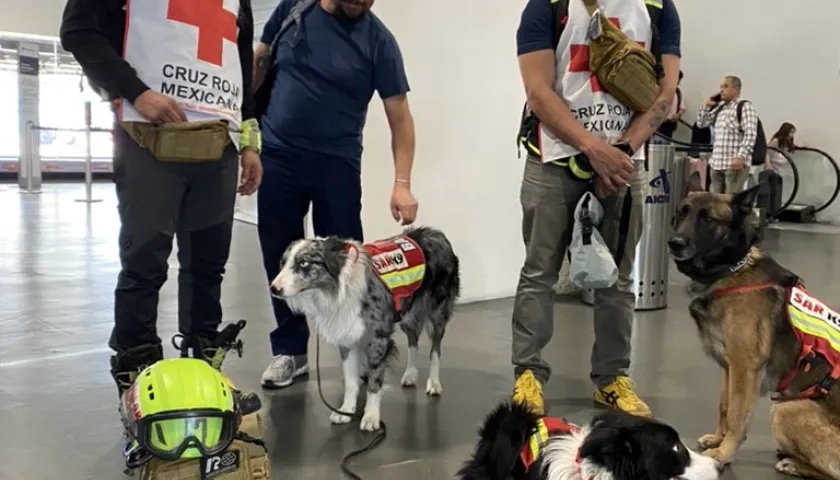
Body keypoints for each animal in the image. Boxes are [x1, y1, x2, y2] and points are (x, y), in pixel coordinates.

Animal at [672, 173, 840, 480]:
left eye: (708, 219)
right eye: (682, 213)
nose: (674, 243)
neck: (732, 269)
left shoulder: (745, 367)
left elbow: (737, 416)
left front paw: (724, 453)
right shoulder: (730, 366)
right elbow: (725, 406)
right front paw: (718, 439)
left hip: (785, 410)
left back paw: (793, 463)